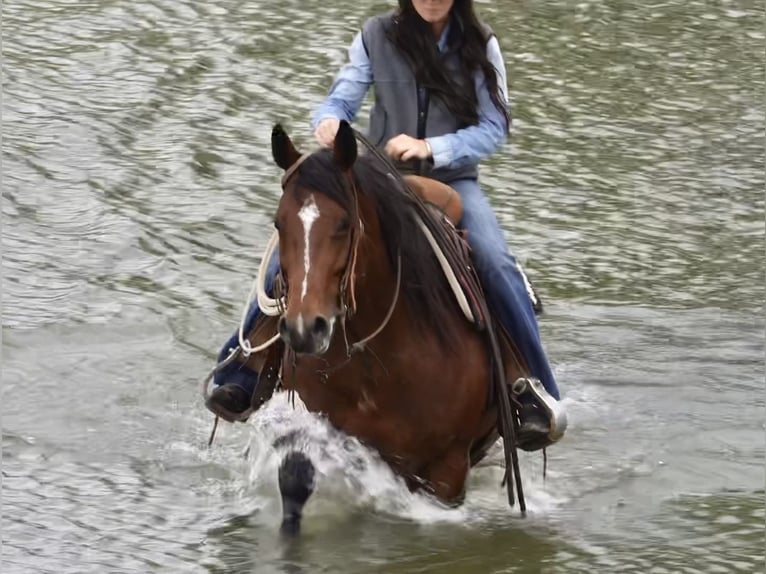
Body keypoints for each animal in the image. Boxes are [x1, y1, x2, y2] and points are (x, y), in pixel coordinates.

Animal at [246, 121, 528, 536]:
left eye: (344, 223)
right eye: (279, 222)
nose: (304, 329)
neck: (377, 358)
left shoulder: (447, 471)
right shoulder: (311, 422)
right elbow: (295, 478)